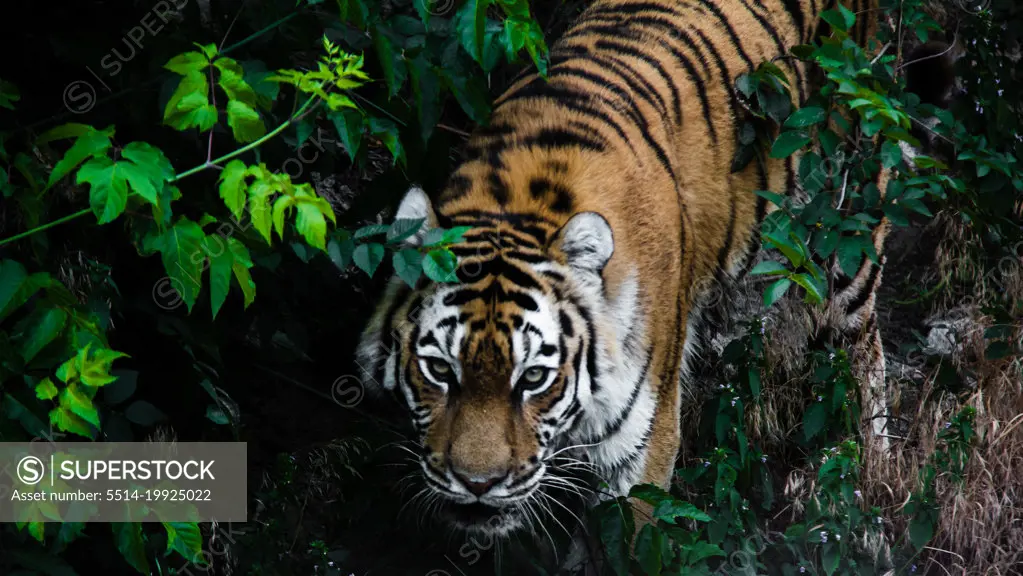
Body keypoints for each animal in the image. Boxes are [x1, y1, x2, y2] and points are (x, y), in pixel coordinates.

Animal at [353, 1, 896, 540]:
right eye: (440, 369)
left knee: (863, 352)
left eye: (533, 377)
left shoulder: (642, 441)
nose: (478, 483)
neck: (516, 205)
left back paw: (870, 476)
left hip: (849, 232)